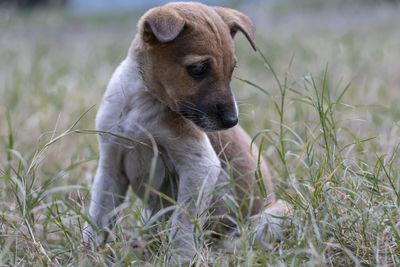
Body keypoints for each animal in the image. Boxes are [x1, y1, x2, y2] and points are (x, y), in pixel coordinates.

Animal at [84, 1, 290, 262]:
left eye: (232, 70)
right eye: (199, 69)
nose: (231, 121)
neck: (142, 103)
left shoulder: (200, 165)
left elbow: (182, 223)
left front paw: (181, 258)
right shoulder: (111, 166)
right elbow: (97, 220)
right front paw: (86, 255)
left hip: (276, 213)